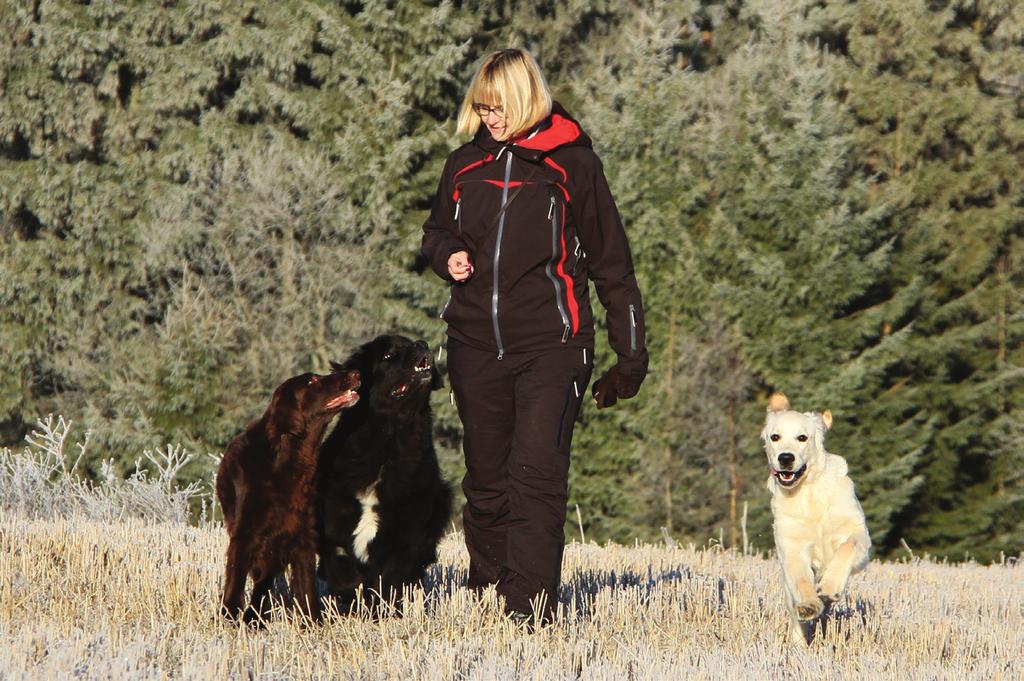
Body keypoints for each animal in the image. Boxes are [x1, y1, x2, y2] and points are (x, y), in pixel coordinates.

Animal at [216, 368, 360, 622]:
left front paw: (313, 624)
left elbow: (308, 593)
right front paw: (230, 619)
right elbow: (235, 582)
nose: (356, 372)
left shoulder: (303, 538)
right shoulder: (244, 535)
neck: (287, 457)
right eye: (312, 380)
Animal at [315, 333, 452, 610]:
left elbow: (391, 578)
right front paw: (349, 591)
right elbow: (337, 557)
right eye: (388, 355)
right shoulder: (332, 512)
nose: (422, 344)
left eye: (410, 342)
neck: (390, 438)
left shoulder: (410, 532)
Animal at [761, 393, 872, 643]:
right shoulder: (791, 547)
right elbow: (802, 579)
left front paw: (830, 586)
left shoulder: (859, 537)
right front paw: (809, 604)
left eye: (802, 437)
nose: (785, 458)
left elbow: (847, 547)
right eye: (775, 437)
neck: (808, 492)